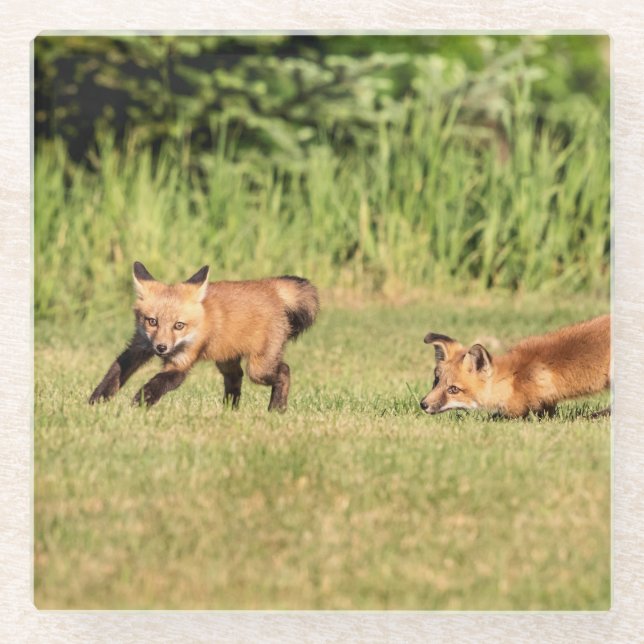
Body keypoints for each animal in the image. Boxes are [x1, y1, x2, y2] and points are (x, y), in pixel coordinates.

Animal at [89, 262, 319, 411]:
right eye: (152, 321)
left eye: (178, 325)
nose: (161, 348)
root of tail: (269, 286)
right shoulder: (139, 346)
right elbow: (115, 373)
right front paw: (96, 401)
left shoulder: (181, 362)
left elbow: (158, 382)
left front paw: (139, 403)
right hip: (227, 359)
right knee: (235, 378)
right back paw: (229, 411)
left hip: (259, 369)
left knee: (284, 370)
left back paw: (276, 408)